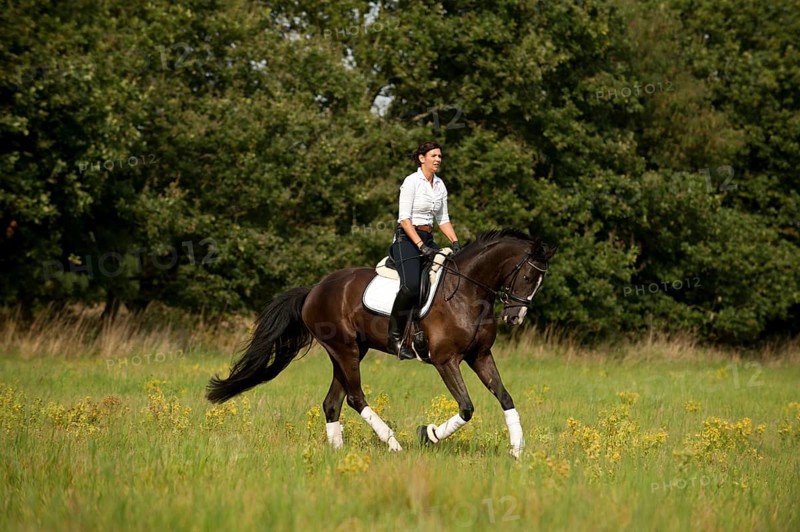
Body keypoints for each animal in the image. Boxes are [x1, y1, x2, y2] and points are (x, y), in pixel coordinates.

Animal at [206, 229, 555, 457]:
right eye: (527, 277)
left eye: (539, 281)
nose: (515, 317)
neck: (467, 292)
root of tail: (314, 290)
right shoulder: (446, 361)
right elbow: (467, 408)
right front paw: (428, 435)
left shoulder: (480, 355)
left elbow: (505, 397)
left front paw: (517, 449)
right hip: (345, 350)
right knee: (355, 398)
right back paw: (393, 443)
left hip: (348, 353)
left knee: (332, 402)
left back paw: (339, 454)